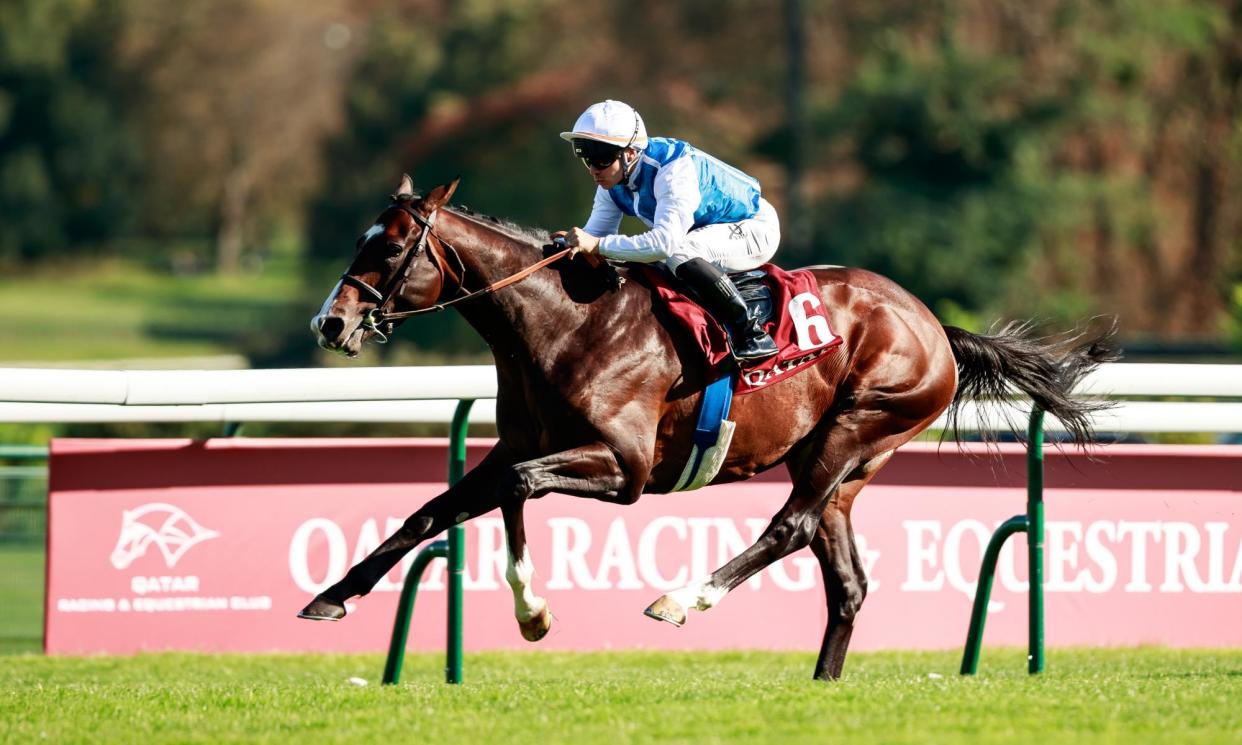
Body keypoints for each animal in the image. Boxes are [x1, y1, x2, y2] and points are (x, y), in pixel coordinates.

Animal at [300, 176, 1117, 680]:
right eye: (360, 239)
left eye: (388, 245)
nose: (330, 323)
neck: (562, 322)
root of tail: (935, 326)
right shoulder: (524, 443)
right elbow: (440, 507)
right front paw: (335, 594)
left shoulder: (624, 468)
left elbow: (514, 488)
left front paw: (532, 610)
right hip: (841, 467)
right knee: (846, 580)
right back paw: (822, 683)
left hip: (858, 426)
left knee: (789, 527)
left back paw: (683, 598)